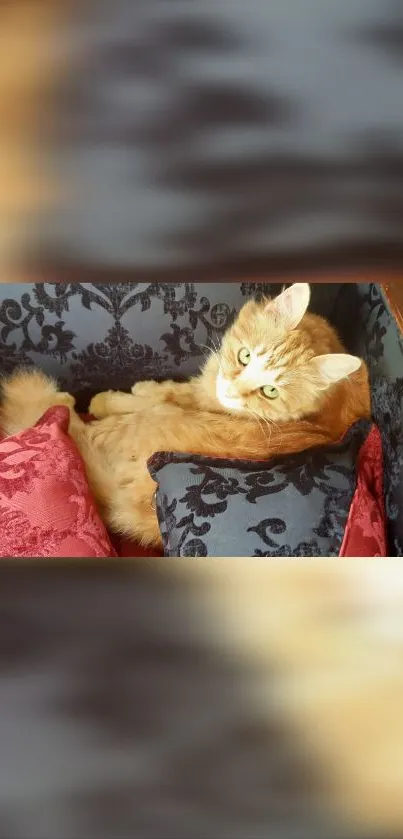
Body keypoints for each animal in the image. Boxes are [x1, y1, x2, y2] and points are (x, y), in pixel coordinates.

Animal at [0, 284, 372, 552]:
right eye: (245, 356)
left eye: (270, 391)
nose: (233, 390)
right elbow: (168, 388)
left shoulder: (188, 400)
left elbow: (155, 395)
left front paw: (111, 398)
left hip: (143, 425)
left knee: (73, 427)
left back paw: (62, 405)